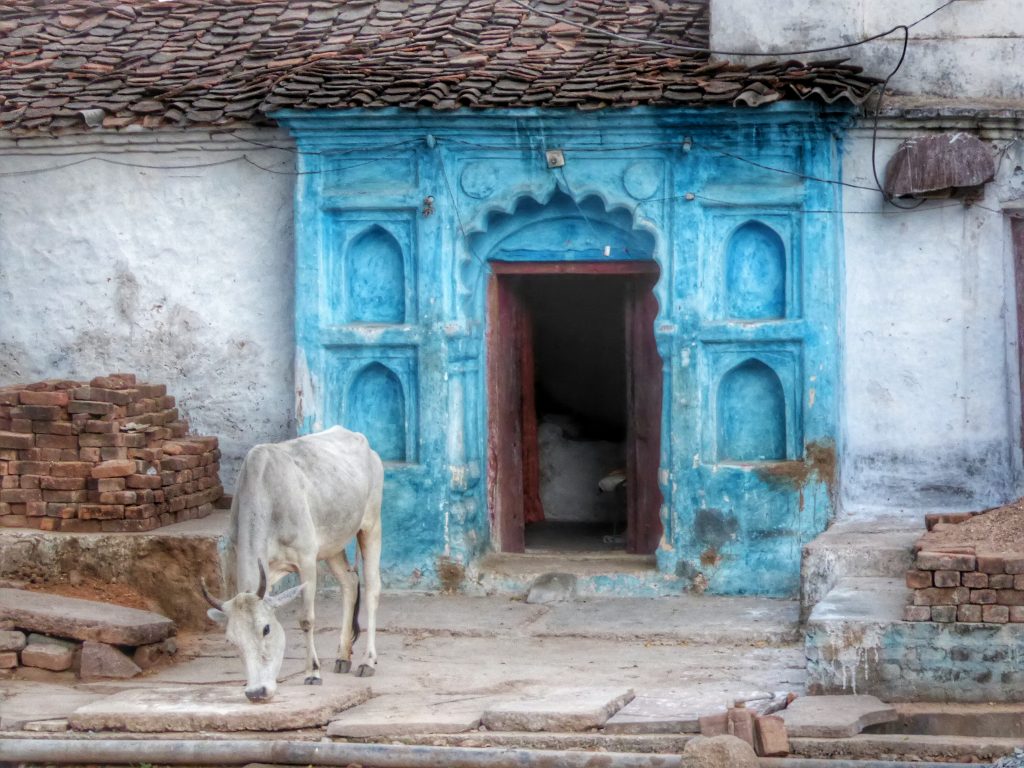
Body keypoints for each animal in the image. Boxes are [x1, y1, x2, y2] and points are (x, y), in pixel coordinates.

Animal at [200, 428, 385, 704]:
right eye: (231, 640)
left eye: (266, 629)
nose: (256, 692)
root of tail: (360, 439)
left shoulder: (306, 560)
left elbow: (306, 619)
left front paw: (313, 672)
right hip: (333, 543)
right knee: (350, 582)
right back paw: (343, 656)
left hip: (370, 524)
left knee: (372, 588)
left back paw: (367, 661)